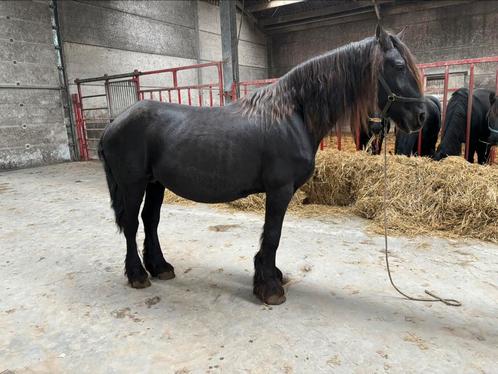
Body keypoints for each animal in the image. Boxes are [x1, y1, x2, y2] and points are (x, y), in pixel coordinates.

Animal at [98, 27, 424, 306]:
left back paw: (160, 267)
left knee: (150, 221)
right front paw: (269, 287)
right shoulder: (279, 190)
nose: (420, 116)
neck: (293, 114)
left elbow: (271, 236)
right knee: (132, 224)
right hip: (133, 184)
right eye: (398, 66)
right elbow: (273, 235)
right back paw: (138, 275)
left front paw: (270, 276)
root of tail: (115, 123)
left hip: (156, 184)